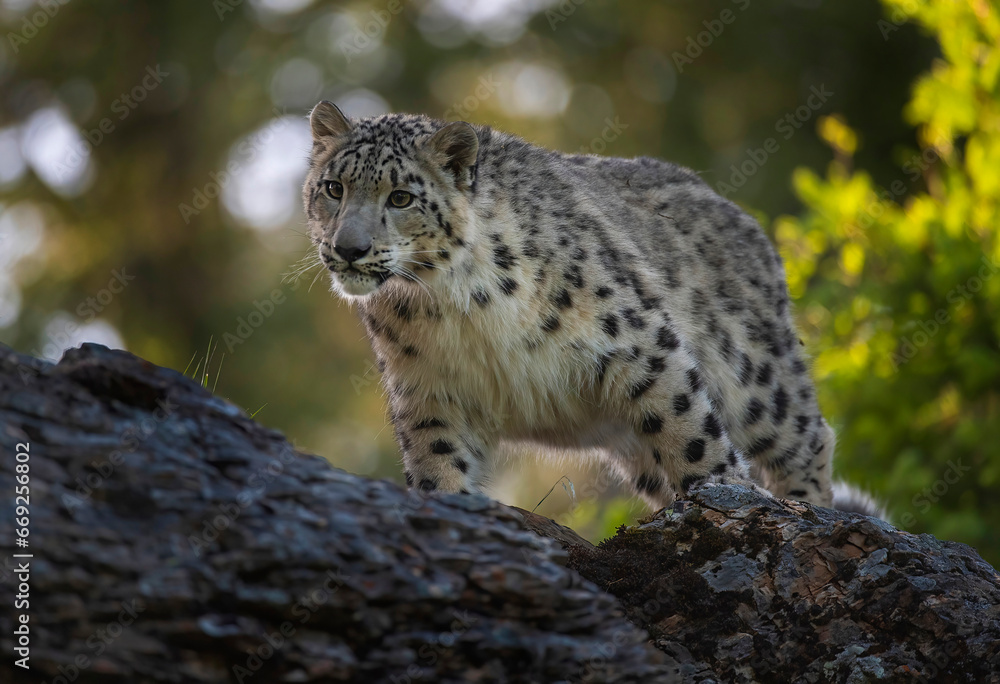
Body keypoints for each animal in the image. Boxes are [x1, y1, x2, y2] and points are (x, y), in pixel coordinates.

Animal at [301, 100, 883, 518]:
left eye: (401, 197)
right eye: (333, 187)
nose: (348, 248)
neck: (453, 308)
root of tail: (744, 219)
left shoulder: (639, 343)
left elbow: (689, 430)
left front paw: (723, 493)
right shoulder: (428, 390)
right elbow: (438, 462)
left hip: (757, 376)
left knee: (805, 438)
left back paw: (806, 510)